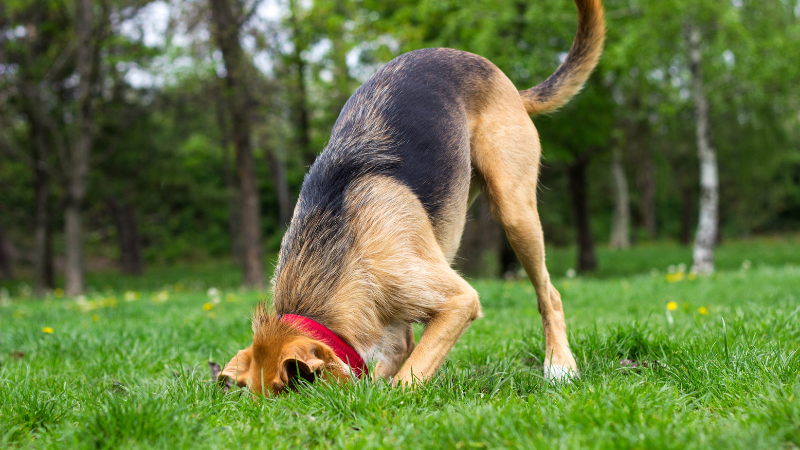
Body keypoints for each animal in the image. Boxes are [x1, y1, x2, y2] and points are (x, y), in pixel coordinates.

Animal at [219, 0, 608, 394]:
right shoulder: (393, 326)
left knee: (549, 295)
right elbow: (400, 353)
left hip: (515, 211)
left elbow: (408, 376)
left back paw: (560, 365)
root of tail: (508, 85)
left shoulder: (457, 300)